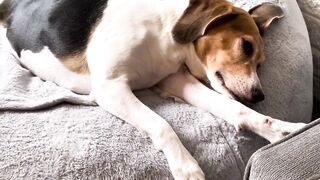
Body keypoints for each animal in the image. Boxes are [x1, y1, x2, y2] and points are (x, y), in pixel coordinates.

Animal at [0, 0, 306, 179]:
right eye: (246, 46)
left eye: (261, 63)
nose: (259, 95)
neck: (166, 37)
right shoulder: (111, 88)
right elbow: (161, 124)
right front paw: (186, 167)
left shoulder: (175, 79)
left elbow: (235, 109)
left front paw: (281, 131)